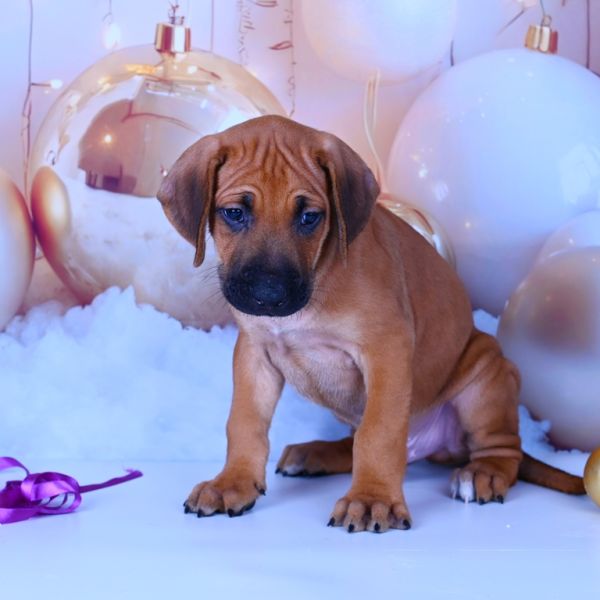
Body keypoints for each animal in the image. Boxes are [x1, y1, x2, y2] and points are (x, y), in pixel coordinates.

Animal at [158, 115, 584, 533]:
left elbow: (378, 434)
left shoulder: (386, 349)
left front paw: (371, 498)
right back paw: (316, 453)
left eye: (309, 217)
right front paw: (233, 482)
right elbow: (245, 422)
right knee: (352, 441)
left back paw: (482, 473)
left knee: (503, 447)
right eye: (235, 213)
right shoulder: (254, 352)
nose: (269, 293)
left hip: (486, 374)